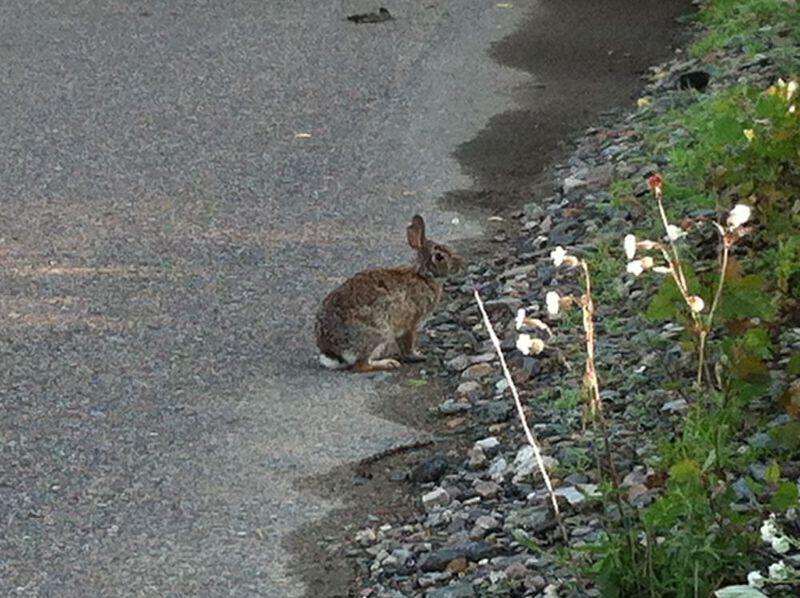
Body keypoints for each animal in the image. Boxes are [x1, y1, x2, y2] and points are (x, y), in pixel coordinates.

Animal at [314, 216, 462, 376]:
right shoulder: (411, 323)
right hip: (378, 334)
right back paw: (388, 364)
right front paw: (417, 356)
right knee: (361, 366)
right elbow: (408, 344)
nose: (460, 264)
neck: (424, 276)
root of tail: (332, 350)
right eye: (439, 257)